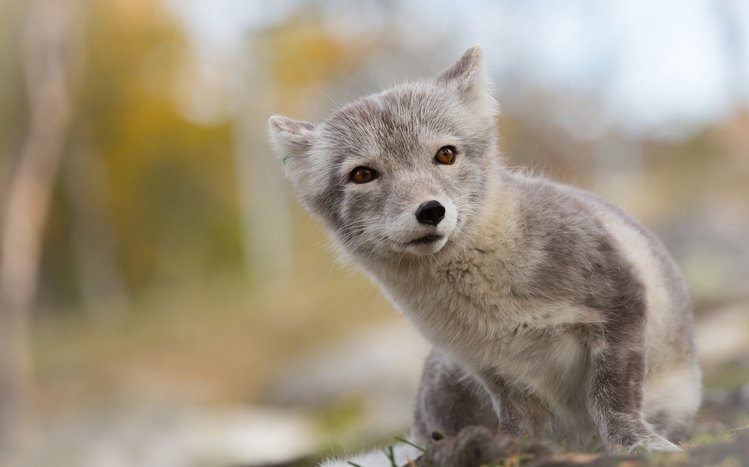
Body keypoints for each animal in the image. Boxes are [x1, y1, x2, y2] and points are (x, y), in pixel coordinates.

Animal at [268, 46, 701, 464]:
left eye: (445, 154)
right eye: (362, 174)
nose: (431, 211)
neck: (492, 303)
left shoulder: (620, 302)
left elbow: (612, 397)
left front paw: (637, 444)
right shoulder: (493, 368)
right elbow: (518, 426)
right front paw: (514, 452)